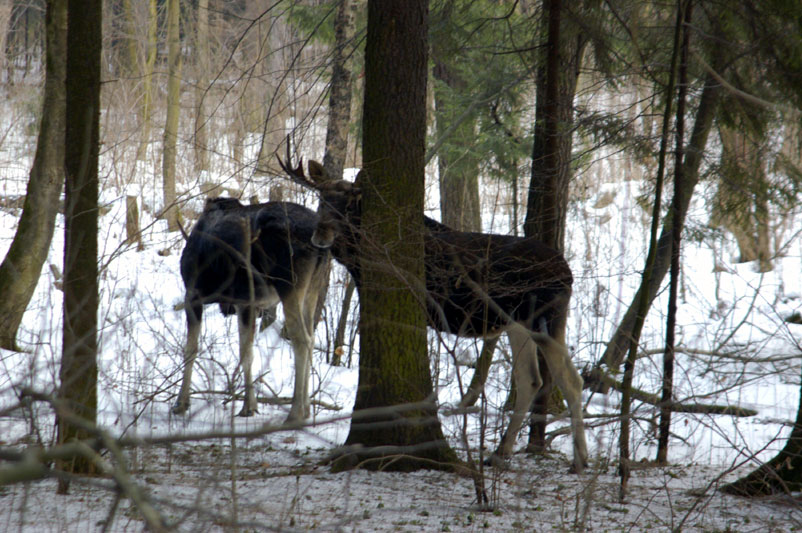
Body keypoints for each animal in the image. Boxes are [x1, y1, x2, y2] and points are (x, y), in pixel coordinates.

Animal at [172, 197, 328, 422]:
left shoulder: (193, 294)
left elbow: (190, 350)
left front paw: (181, 403)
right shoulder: (246, 302)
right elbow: (247, 352)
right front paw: (250, 405)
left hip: (289, 284)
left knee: (301, 339)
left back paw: (295, 411)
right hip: (313, 286)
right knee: (311, 335)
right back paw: (306, 408)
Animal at [282, 157, 588, 470]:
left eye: (349, 203)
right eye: (321, 200)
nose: (321, 234)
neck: (357, 264)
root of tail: (568, 275)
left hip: (542, 318)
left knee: (571, 380)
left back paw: (580, 459)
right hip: (516, 322)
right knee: (531, 380)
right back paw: (500, 454)